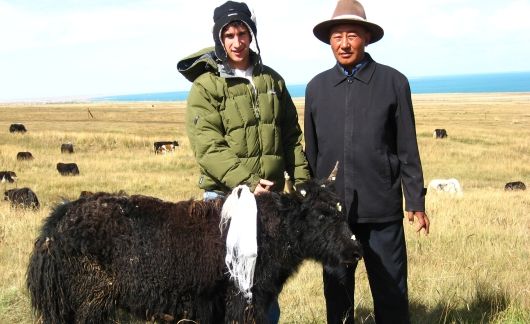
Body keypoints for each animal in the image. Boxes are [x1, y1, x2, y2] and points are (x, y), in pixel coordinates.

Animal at [27, 178, 358, 322]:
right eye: (321, 215)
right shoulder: (241, 298)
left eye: (341, 210)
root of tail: (53, 229)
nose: (355, 252)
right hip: (91, 300)